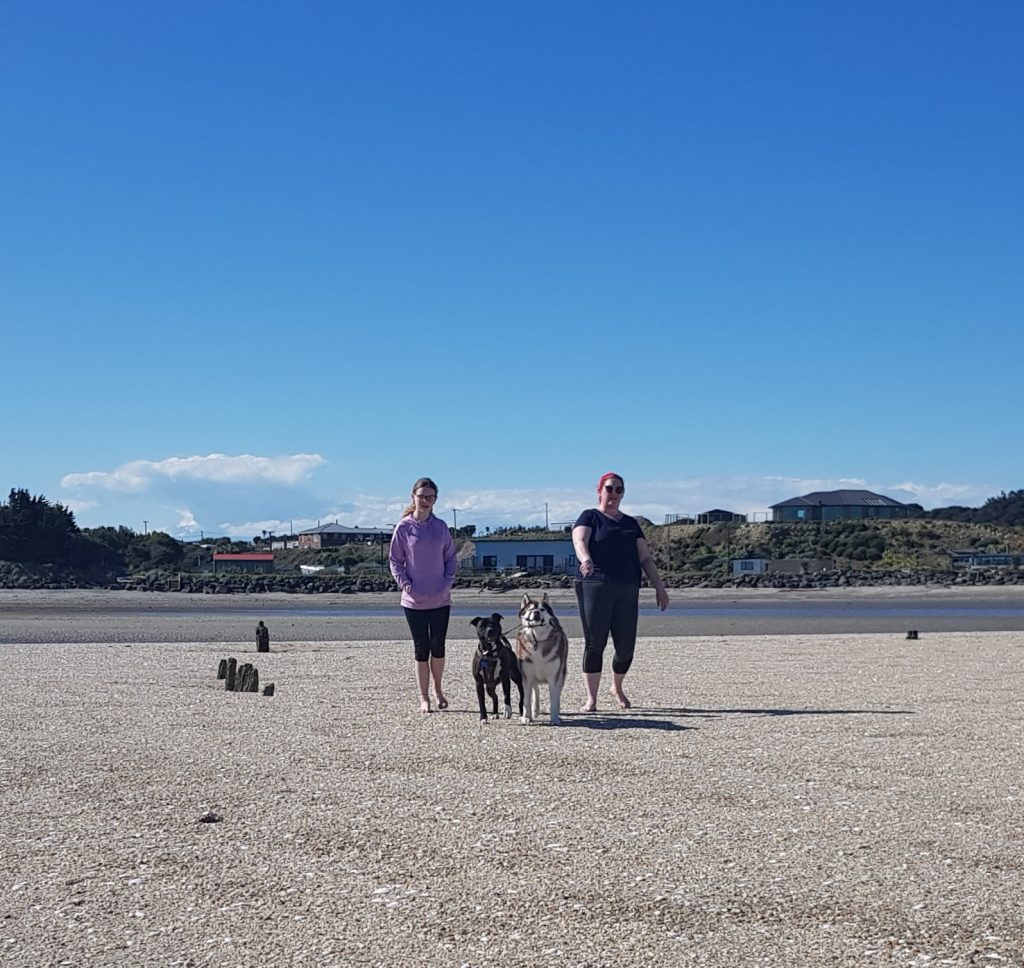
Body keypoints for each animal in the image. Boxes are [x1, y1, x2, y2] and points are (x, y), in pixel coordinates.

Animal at [516, 590, 573, 725]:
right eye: (530, 609)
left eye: (542, 609)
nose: (536, 612)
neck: (538, 639)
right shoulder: (527, 676)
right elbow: (526, 699)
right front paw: (526, 717)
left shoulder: (554, 677)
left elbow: (554, 699)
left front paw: (555, 718)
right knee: (535, 690)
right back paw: (535, 710)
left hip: (561, 674)